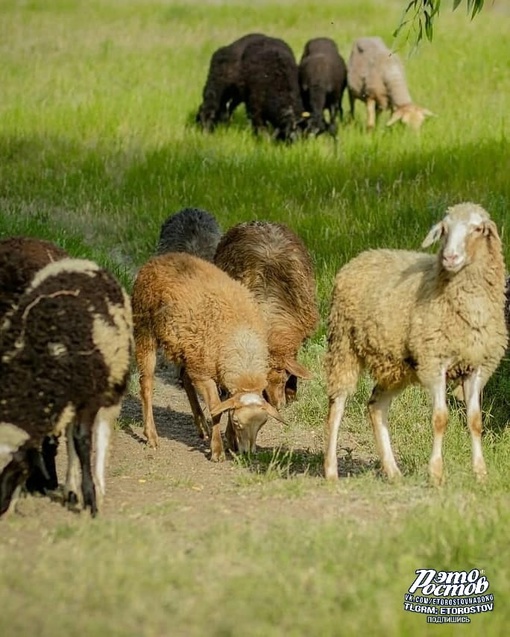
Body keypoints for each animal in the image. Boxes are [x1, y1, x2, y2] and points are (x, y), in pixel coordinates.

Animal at [0, 256, 133, 516]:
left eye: (16, 469)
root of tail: (81, 261)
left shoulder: (89, 396)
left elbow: (83, 441)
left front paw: (91, 500)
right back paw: (71, 490)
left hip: (110, 384)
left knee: (100, 432)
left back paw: (98, 486)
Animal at [130, 251, 282, 460]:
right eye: (238, 423)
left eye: (262, 424)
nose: (248, 455)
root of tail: (159, 259)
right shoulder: (204, 375)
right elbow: (216, 408)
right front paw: (218, 450)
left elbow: (225, 405)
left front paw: (230, 440)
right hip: (145, 330)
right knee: (146, 384)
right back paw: (151, 436)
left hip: (189, 350)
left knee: (185, 379)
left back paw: (202, 426)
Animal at [324, 201, 508, 484]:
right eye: (444, 229)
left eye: (477, 228)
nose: (450, 257)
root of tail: (362, 256)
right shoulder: (434, 362)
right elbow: (440, 418)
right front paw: (436, 474)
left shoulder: (477, 366)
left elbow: (475, 421)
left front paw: (480, 474)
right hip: (343, 345)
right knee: (337, 405)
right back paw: (331, 470)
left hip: (395, 367)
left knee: (376, 406)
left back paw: (393, 471)